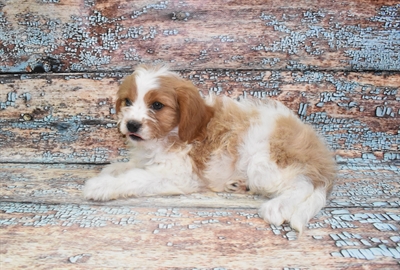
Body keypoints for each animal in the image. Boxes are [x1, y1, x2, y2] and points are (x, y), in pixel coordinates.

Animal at [83, 65, 334, 232]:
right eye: (127, 102)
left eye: (157, 105)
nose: (132, 124)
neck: (170, 135)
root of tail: (321, 156)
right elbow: (131, 165)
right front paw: (113, 169)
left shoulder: (178, 174)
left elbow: (136, 177)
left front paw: (102, 185)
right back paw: (238, 184)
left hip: (266, 164)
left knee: (303, 185)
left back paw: (278, 205)